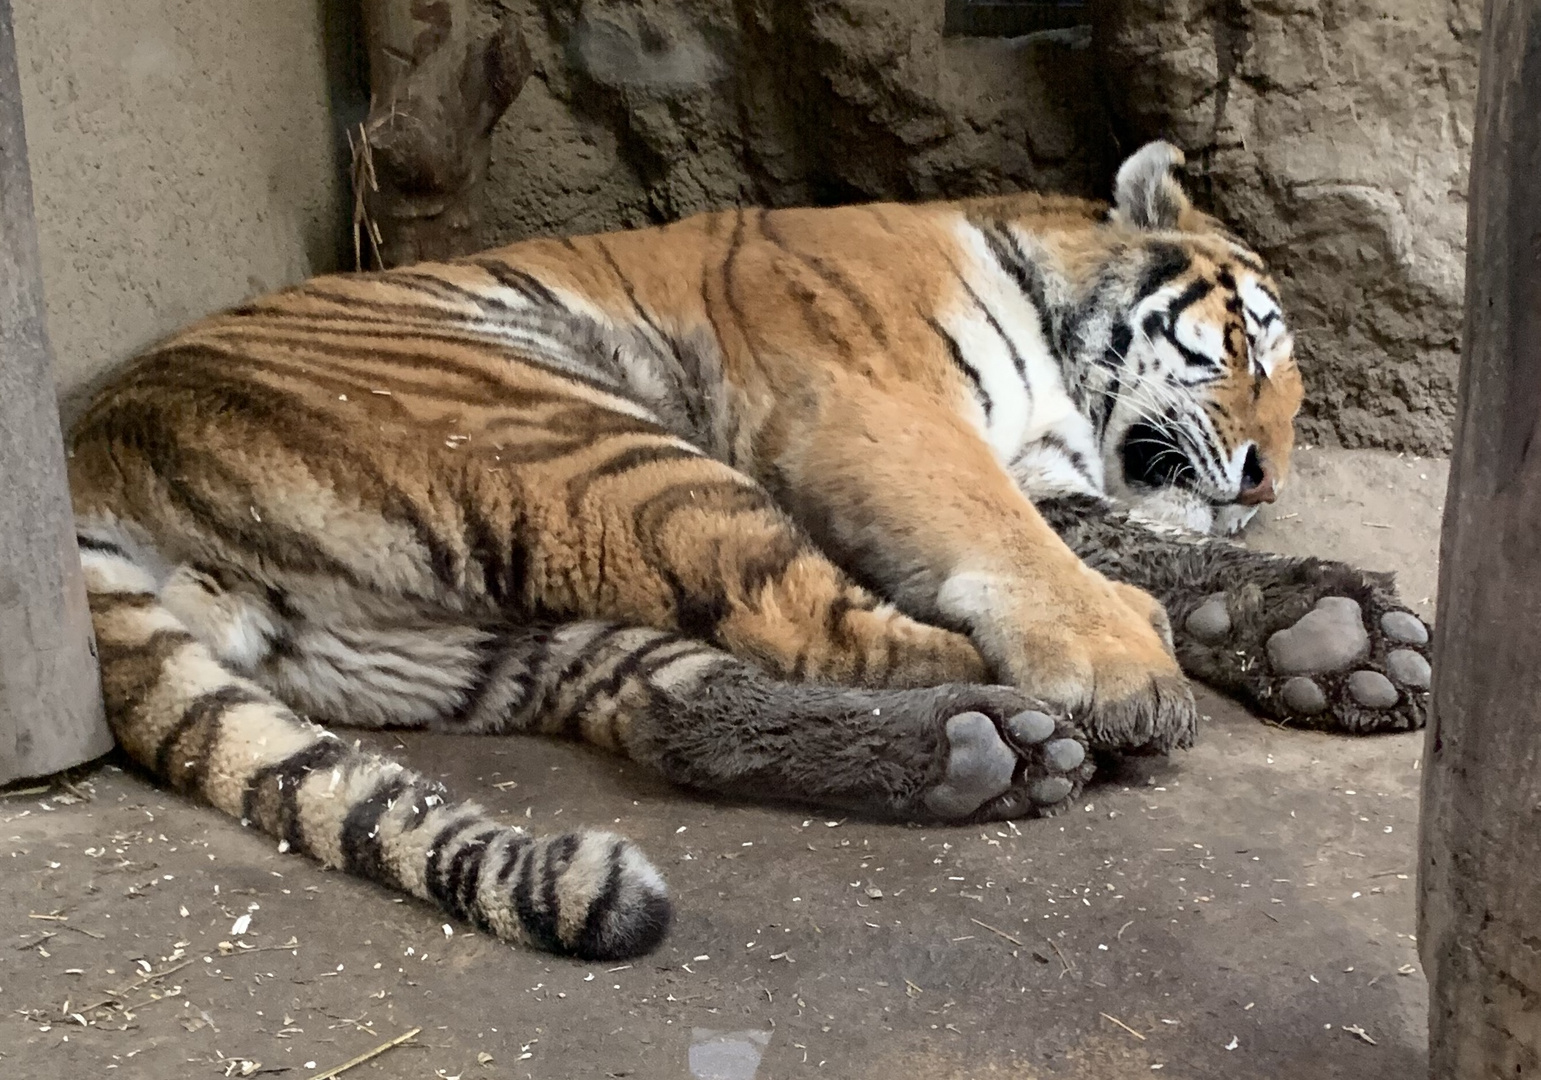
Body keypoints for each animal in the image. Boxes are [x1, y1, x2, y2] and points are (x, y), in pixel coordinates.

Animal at [63, 140, 1430, 961]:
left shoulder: (1052, 475)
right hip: (573, 434)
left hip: (476, 635)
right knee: (814, 621)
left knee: (682, 702)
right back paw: (1021, 725)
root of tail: (85, 455)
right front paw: (1124, 660)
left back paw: (970, 752)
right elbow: (1021, 547)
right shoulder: (882, 408)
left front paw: (1329, 634)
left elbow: (1153, 556)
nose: (1263, 482)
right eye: (1250, 346)